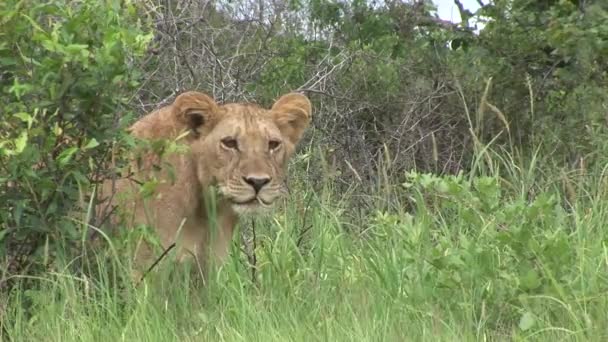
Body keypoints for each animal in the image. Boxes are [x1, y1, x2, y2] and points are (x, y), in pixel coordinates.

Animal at [97, 91, 312, 280]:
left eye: (273, 144)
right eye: (229, 143)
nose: (258, 182)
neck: (205, 207)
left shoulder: (207, 267)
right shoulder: (142, 268)